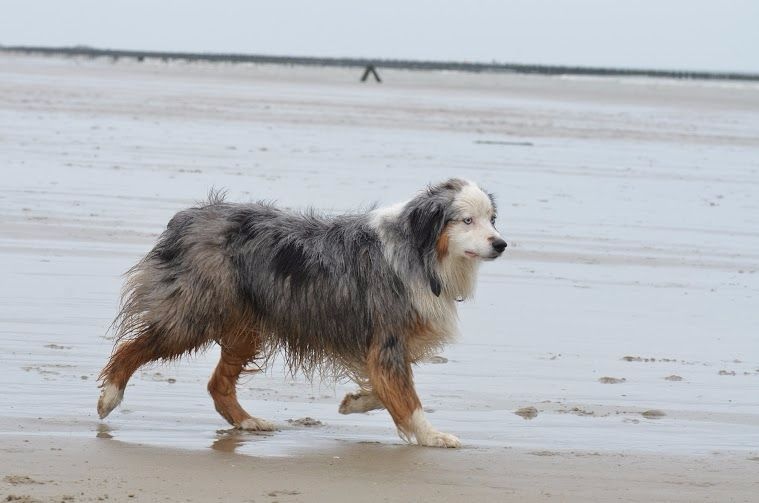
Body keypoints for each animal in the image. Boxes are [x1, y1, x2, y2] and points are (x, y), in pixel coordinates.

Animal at [98, 178, 508, 448]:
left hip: (246, 327)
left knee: (217, 383)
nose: (501, 244)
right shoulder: (388, 337)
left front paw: (355, 402)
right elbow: (407, 397)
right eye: (466, 220)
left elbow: (387, 387)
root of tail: (188, 217)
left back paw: (248, 421)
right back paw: (109, 396)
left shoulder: (383, 345)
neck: (420, 252)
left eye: (492, 219)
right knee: (133, 348)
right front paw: (432, 435)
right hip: (194, 314)